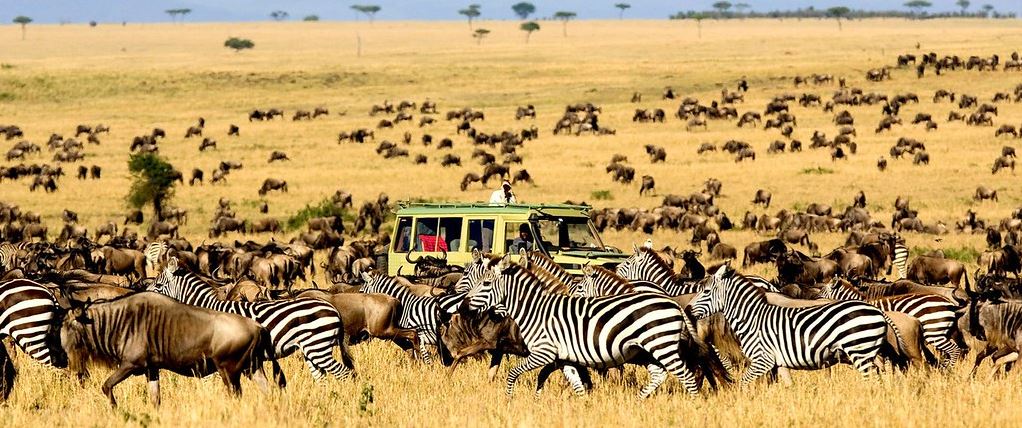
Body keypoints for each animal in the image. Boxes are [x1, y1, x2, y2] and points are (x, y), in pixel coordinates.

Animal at [148, 256, 355, 379]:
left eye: (158, 285)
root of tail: (332, 308)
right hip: (311, 349)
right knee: (322, 377)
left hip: (318, 346)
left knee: (345, 373)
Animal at [468, 254, 707, 398]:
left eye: (486, 283)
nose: (465, 304)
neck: (535, 309)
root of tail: (673, 303)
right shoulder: (564, 357)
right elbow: (577, 384)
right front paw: (584, 405)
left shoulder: (544, 352)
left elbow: (514, 373)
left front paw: (509, 398)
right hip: (649, 349)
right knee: (660, 374)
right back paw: (640, 400)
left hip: (661, 345)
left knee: (686, 375)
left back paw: (692, 404)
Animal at [686, 265, 895, 386]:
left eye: (705, 291)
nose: (686, 308)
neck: (752, 318)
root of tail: (877, 311)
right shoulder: (779, 361)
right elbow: (788, 385)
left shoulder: (762, 359)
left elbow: (744, 383)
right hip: (869, 351)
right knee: (880, 374)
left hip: (860, 350)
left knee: (872, 378)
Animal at [817, 279, 960, 369]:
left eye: (822, 290)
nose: (815, 299)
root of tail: (950, 304)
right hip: (945, 332)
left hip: (934, 332)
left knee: (954, 350)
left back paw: (949, 371)